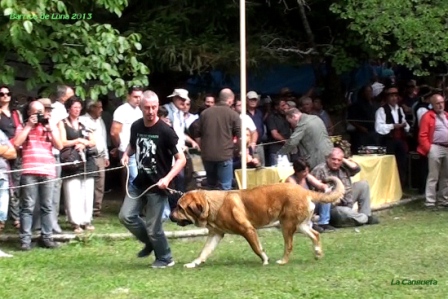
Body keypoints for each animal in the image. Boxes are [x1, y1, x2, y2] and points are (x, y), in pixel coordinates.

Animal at [170, 177, 344, 268]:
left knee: (289, 245)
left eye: (179, 207)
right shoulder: (216, 234)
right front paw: (193, 264)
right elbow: (204, 251)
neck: (211, 204)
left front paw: (265, 260)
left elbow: (256, 248)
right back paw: (317, 253)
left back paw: (282, 261)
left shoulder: (247, 230)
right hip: (300, 225)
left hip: (286, 225)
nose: (170, 216)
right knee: (315, 235)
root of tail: (305, 191)